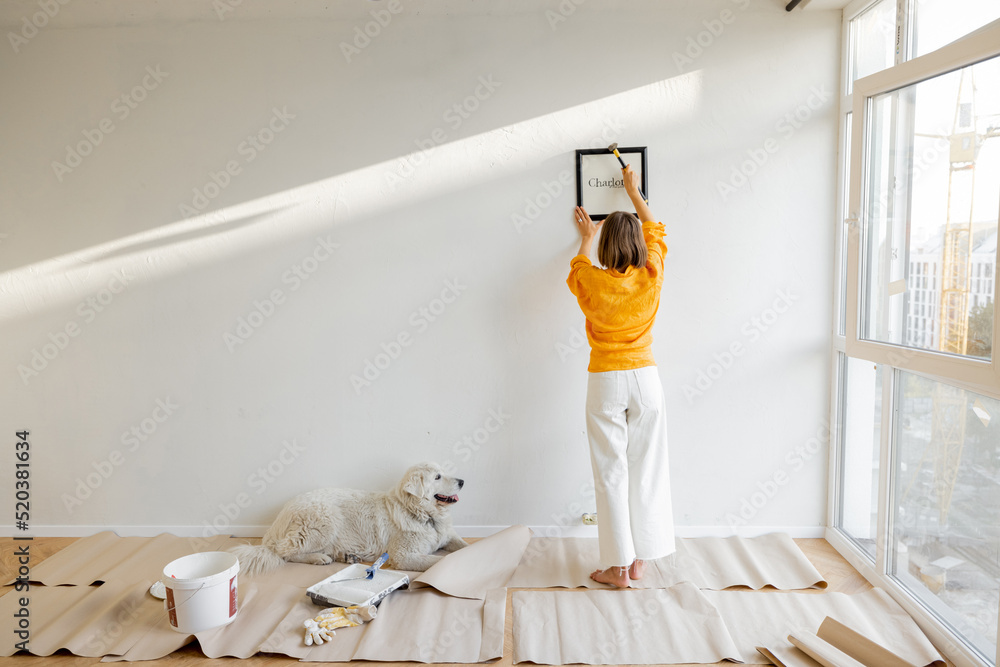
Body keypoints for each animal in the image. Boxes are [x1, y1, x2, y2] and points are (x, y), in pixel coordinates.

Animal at [232, 462, 466, 576]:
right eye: (437, 477)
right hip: (326, 520)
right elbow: (439, 560)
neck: (424, 514)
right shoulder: (403, 555)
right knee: (283, 552)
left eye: (443, 472)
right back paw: (318, 558)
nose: (462, 481)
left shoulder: (448, 536)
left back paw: (346, 556)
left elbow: (463, 546)